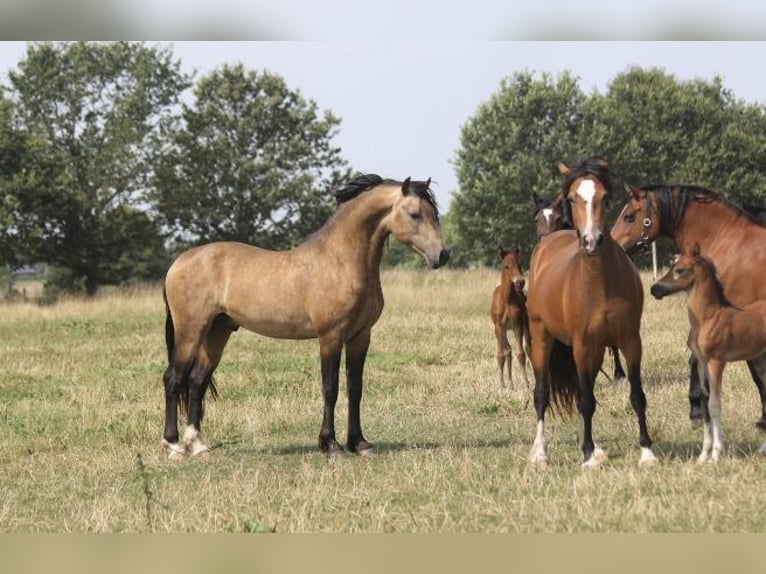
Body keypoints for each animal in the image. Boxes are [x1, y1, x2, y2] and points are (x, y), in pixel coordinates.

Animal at [160, 173, 450, 462]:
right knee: (174, 379)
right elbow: (330, 389)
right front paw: (331, 445)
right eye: (414, 214)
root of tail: (178, 263)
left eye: (433, 213)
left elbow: (355, 389)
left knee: (196, 382)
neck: (340, 261)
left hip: (216, 333)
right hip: (190, 332)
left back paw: (198, 445)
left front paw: (359, 443)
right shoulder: (330, 337)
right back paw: (173, 446)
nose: (443, 255)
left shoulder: (360, 336)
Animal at [652, 246, 766, 464]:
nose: (655, 289)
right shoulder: (702, 363)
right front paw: (703, 455)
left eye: (680, 270)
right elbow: (705, 403)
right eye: (672, 266)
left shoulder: (716, 362)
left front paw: (716, 454)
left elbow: (714, 404)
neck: (708, 318)